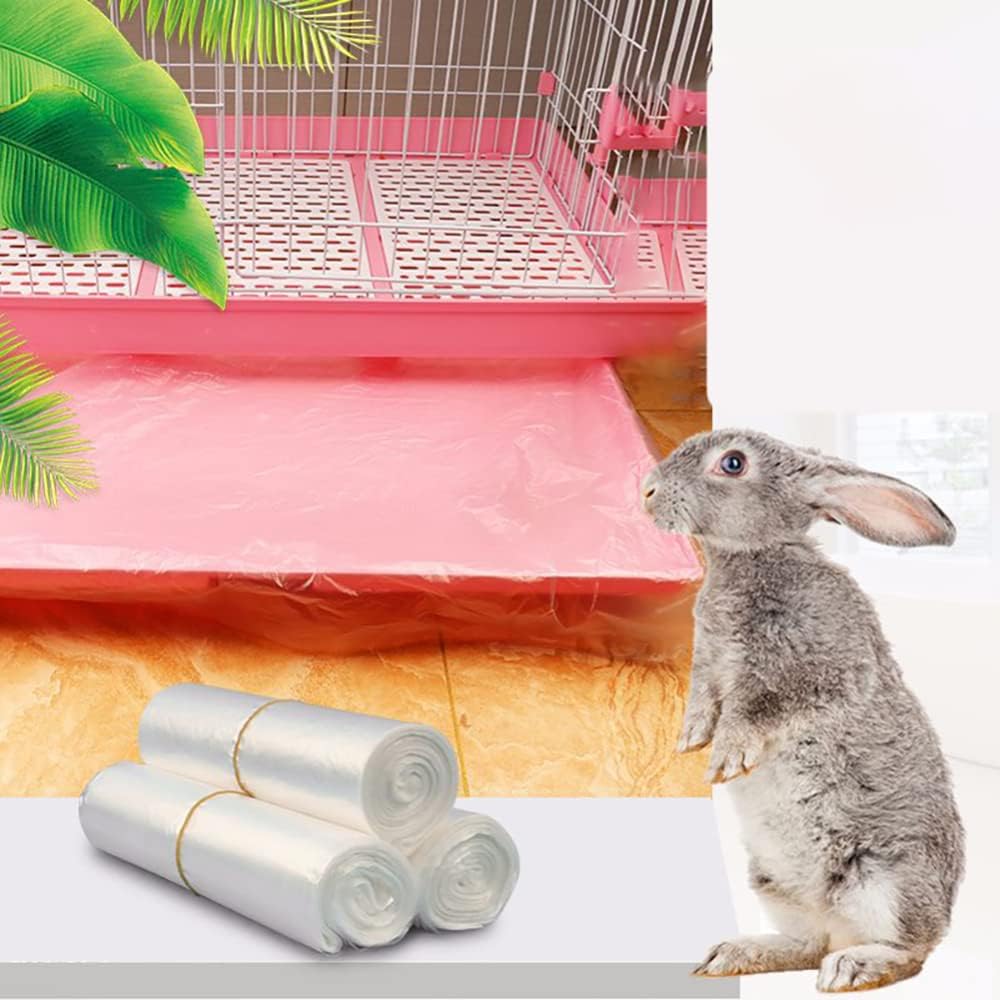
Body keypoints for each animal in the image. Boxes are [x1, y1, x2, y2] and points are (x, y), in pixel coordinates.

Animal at [641, 429, 964, 993]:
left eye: (732, 464)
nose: (648, 491)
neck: (753, 557)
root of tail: (840, 926)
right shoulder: (709, 665)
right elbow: (703, 698)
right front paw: (691, 739)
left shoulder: (812, 671)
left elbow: (758, 709)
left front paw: (727, 758)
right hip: (773, 882)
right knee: (807, 945)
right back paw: (736, 954)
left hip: (887, 876)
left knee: (911, 950)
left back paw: (853, 967)